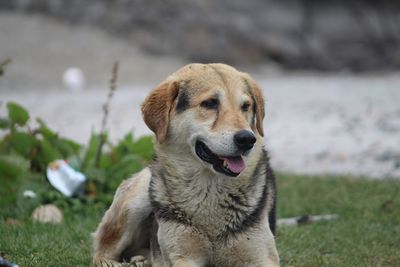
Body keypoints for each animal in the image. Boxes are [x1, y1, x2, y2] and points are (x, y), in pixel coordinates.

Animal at [92, 63, 280, 266]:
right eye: (210, 103)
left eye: (246, 106)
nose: (247, 139)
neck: (209, 189)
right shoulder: (183, 256)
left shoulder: (263, 257)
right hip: (137, 200)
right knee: (101, 252)